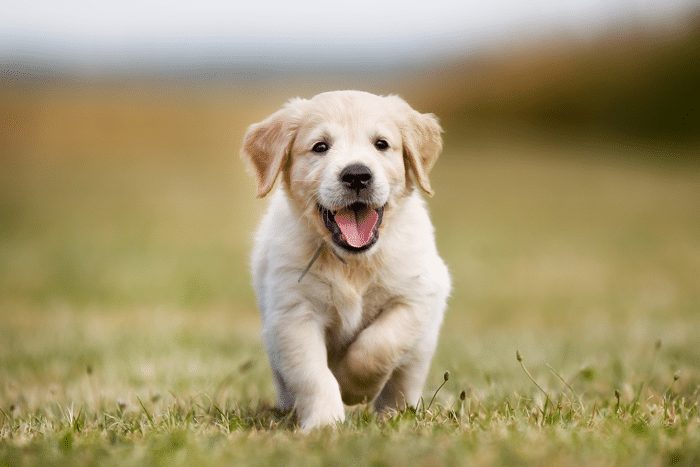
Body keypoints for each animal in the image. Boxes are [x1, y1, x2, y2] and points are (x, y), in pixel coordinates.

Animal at [241, 90, 448, 432]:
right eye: (320, 147)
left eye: (381, 144)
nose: (357, 175)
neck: (353, 263)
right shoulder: (293, 315)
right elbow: (313, 375)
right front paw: (324, 423)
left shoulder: (417, 296)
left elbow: (379, 344)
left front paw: (353, 388)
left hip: (422, 347)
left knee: (403, 381)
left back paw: (397, 413)